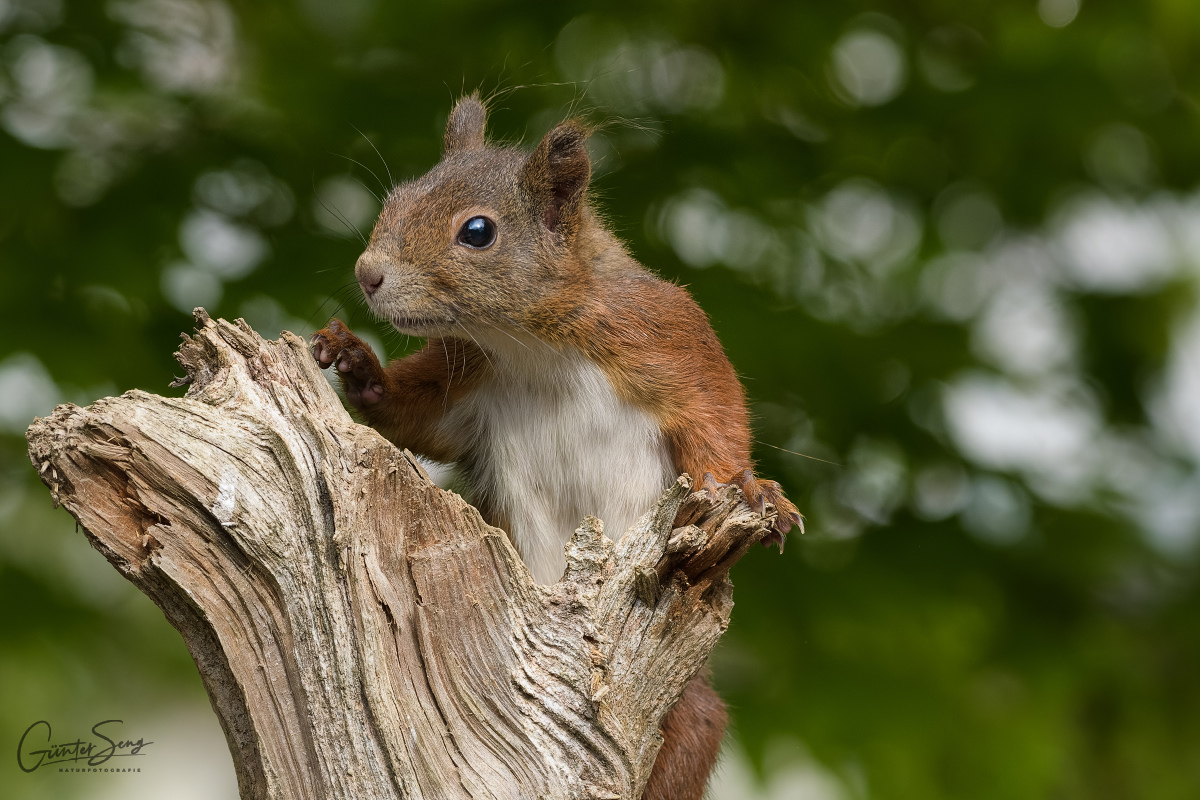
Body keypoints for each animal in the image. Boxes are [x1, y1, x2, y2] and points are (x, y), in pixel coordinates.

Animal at [309, 94, 801, 800]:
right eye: (397, 196)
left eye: (477, 231)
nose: (367, 274)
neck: (535, 345)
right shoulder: (463, 378)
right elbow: (411, 418)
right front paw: (353, 359)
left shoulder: (672, 340)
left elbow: (718, 424)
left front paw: (755, 492)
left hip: (692, 720)